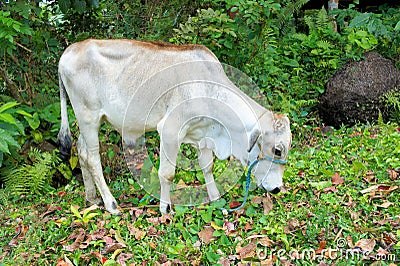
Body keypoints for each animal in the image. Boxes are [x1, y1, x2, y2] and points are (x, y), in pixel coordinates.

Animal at [57, 39, 290, 214]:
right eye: (277, 150)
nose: (277, 189)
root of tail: (70, 50)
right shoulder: (170, 131)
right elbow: (167, 173)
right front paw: (165, 208)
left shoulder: (202, 134)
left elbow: (207, 167)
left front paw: (216, 199)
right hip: (88, 117)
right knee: (93, 158)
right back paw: (111, 204)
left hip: (90, 122)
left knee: (81, 151)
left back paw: (92, 197)